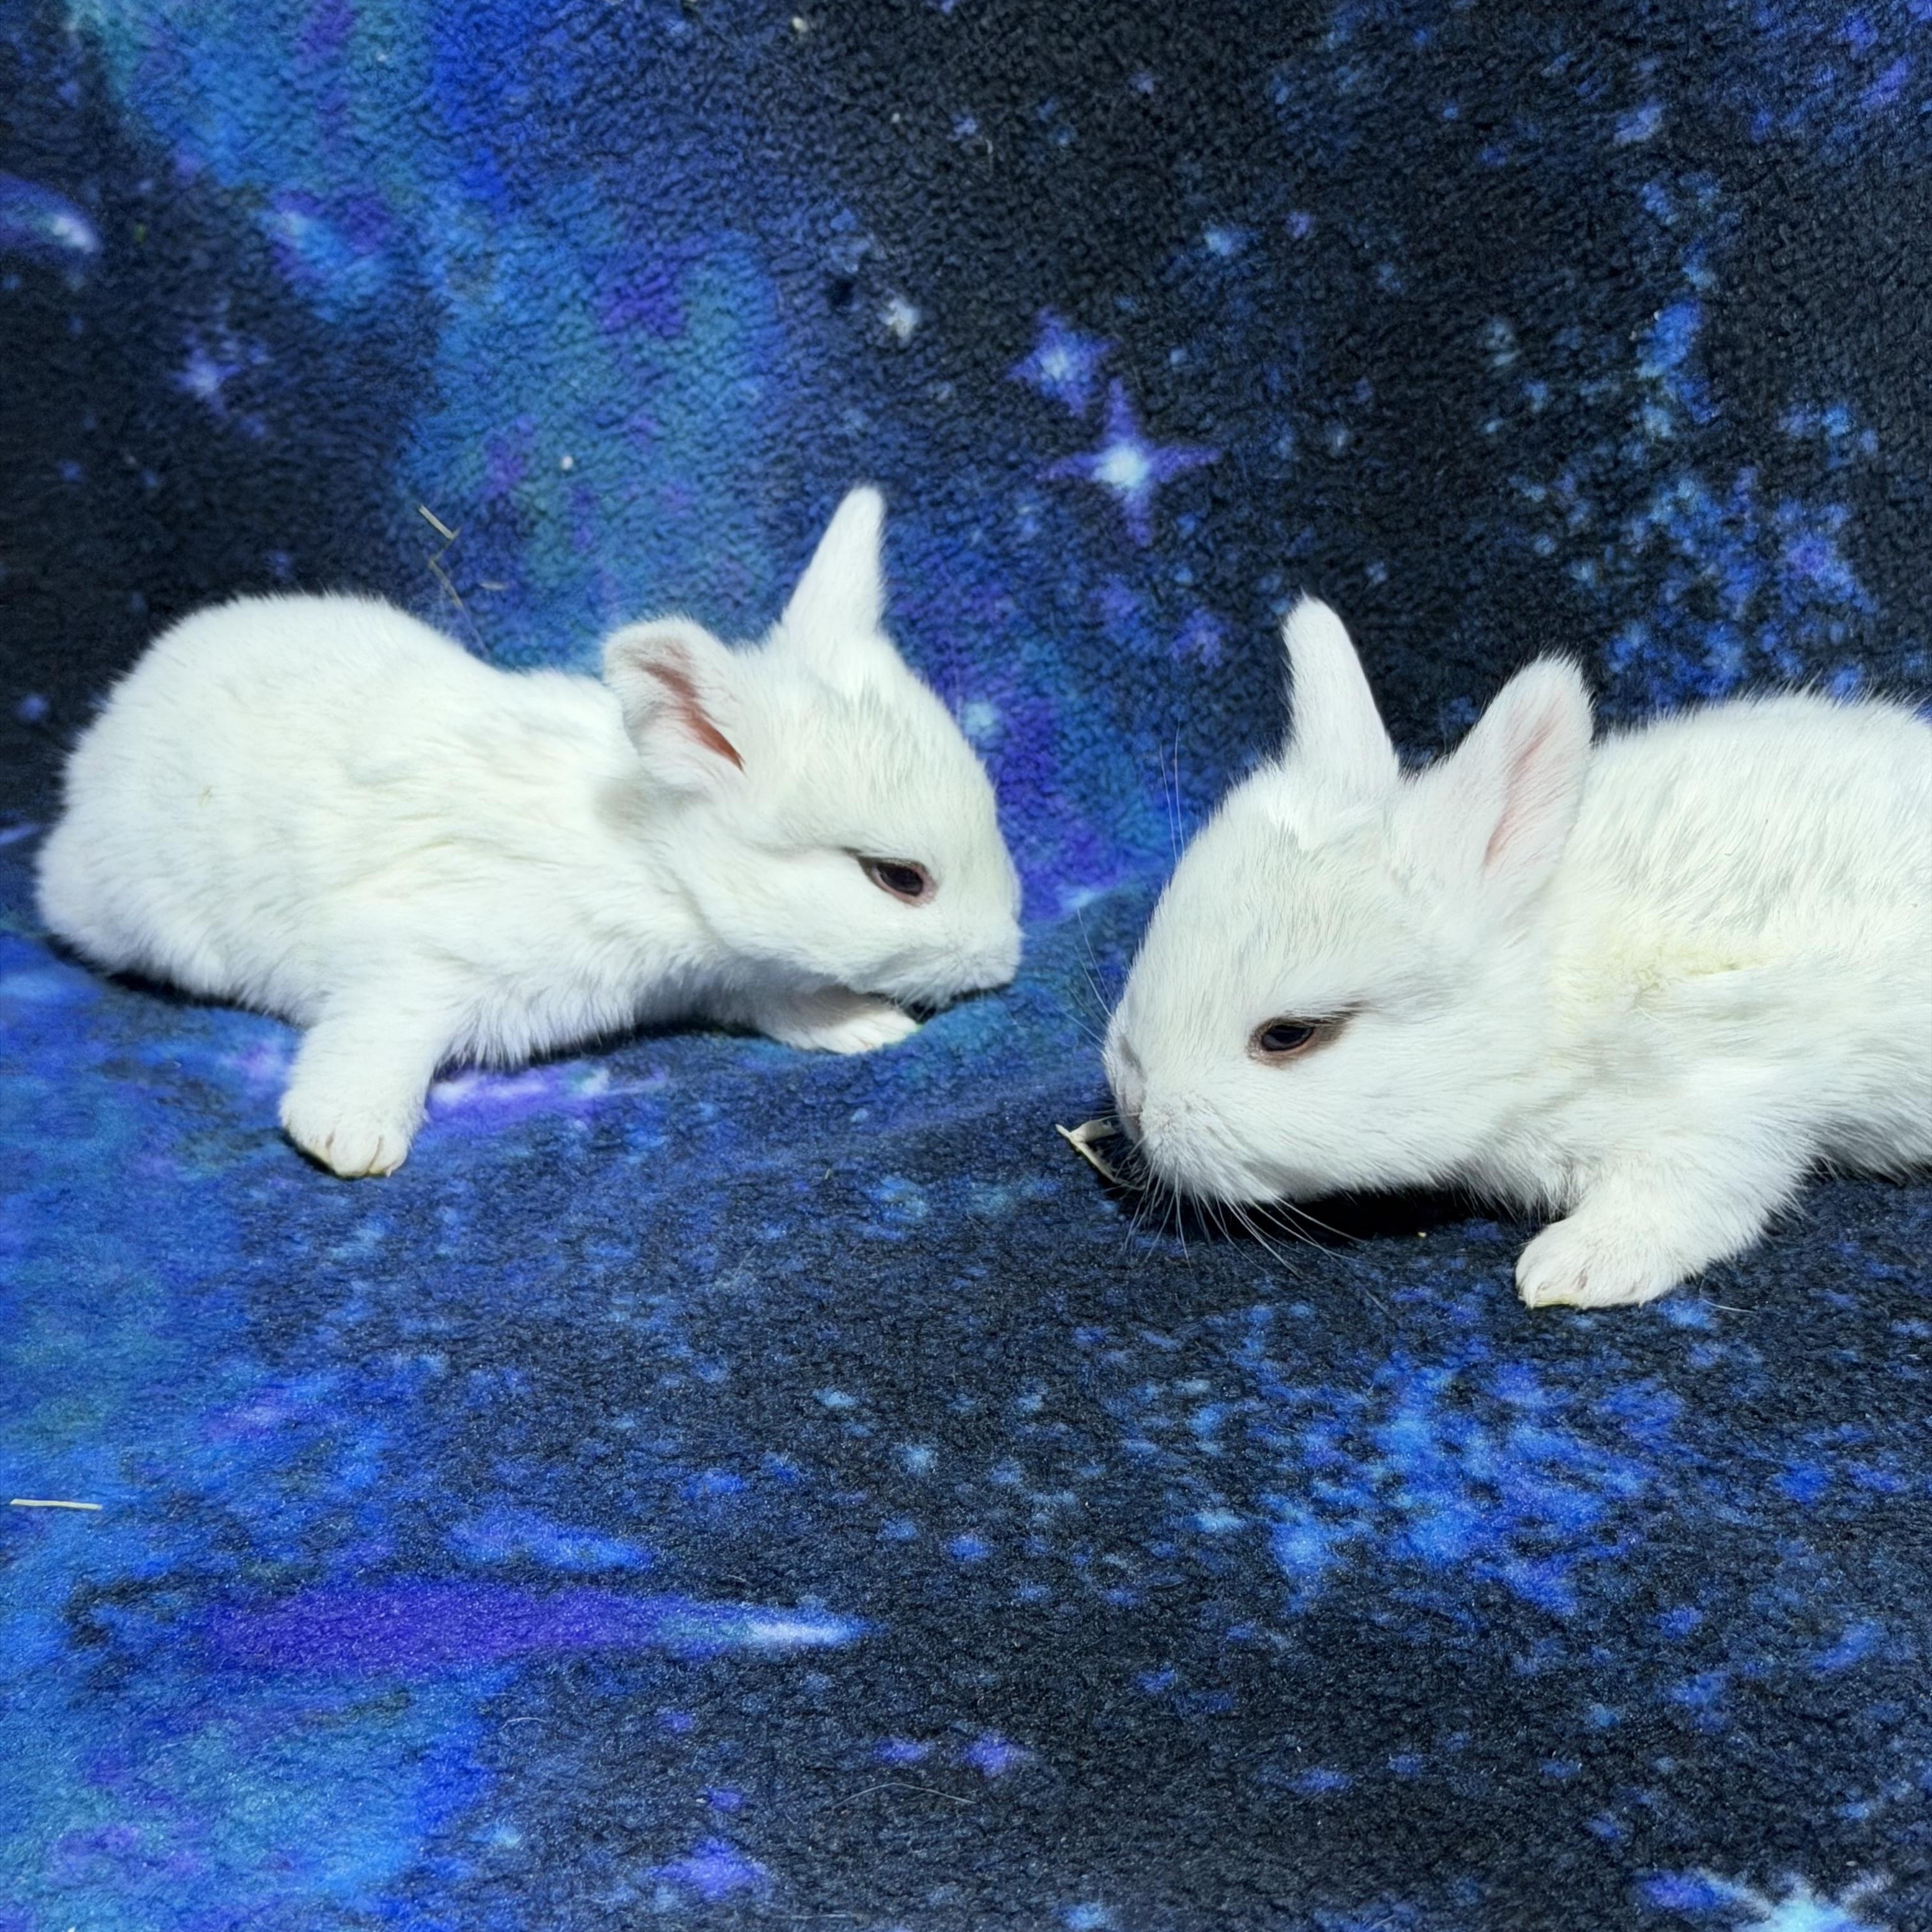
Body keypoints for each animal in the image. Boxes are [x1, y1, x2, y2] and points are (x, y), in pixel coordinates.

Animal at [37, 485, 1023, 1178]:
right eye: (899, 879)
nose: (1007, 963)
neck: (654, 856)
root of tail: (103, 740)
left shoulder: (734, 972)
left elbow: (783, 1000)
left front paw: (864, 1027)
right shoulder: (418, 959)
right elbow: (380, 1033)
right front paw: (348, 1136)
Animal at [1103, 596, 1932, 1308]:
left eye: (1290, 1036)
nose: (1136, 1105)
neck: (1548, 1005)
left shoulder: (1729, 1106)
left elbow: (1688, 1199)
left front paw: (1569, 1270)